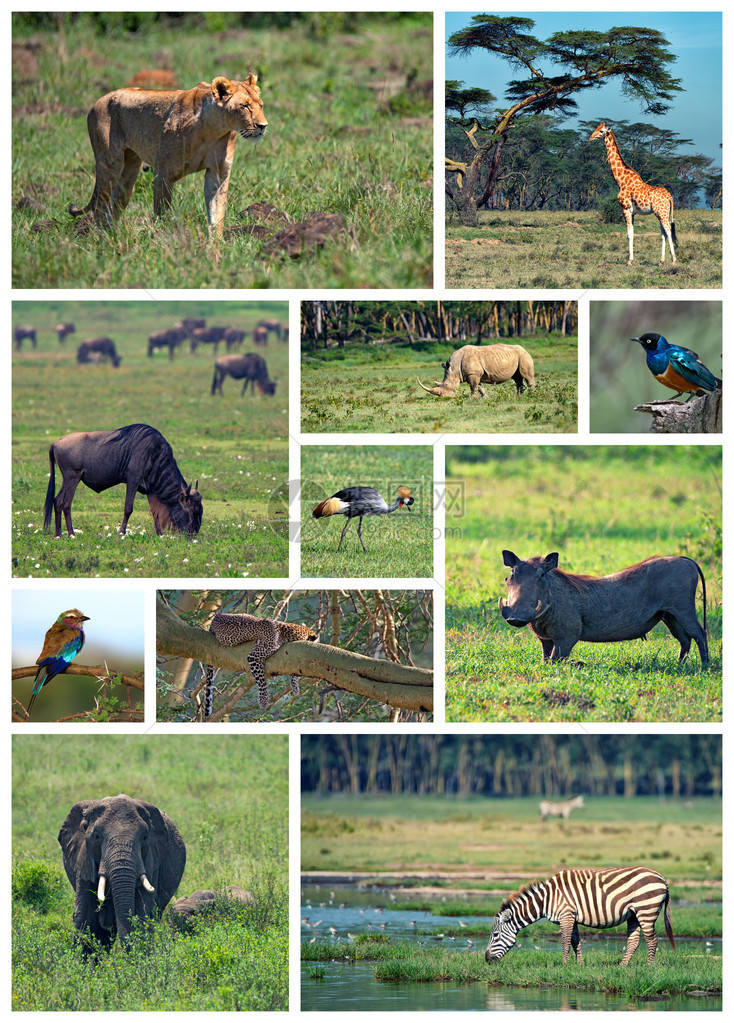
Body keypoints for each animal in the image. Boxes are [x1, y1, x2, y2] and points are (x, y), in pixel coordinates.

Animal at [57, 789, 186, 949]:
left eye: (145, 837)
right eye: (96, 836)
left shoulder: (151, 859)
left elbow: (141, 914)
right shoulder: (83, 857)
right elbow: (85, 919)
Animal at [483, 863, 671, 965]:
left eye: (495, 935)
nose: (486, 959)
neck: (547, 899)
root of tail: (662, 877)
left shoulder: (566, 915)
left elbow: (565, 941)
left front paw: (564, 965)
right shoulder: (571, 917)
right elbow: (575, 941)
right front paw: (579, 965)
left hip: (646, 910)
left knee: (652, 940)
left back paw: (649, 967)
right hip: (634, 914)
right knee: (633, 941)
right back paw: (622, 967)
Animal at [585, 121, 679, 265]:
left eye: (601, 131)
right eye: (596, 128)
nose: (590, 138)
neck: (620, 179)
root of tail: (670, 197)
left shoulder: (625, 208)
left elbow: (629, 234)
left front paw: (629, 260)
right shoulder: (633, 212)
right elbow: (632, 233)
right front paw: (631, 258)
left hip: (662, 212)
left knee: (668, 231)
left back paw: (673, 259)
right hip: (660, 213)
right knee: (663, 232)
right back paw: (661, 260)